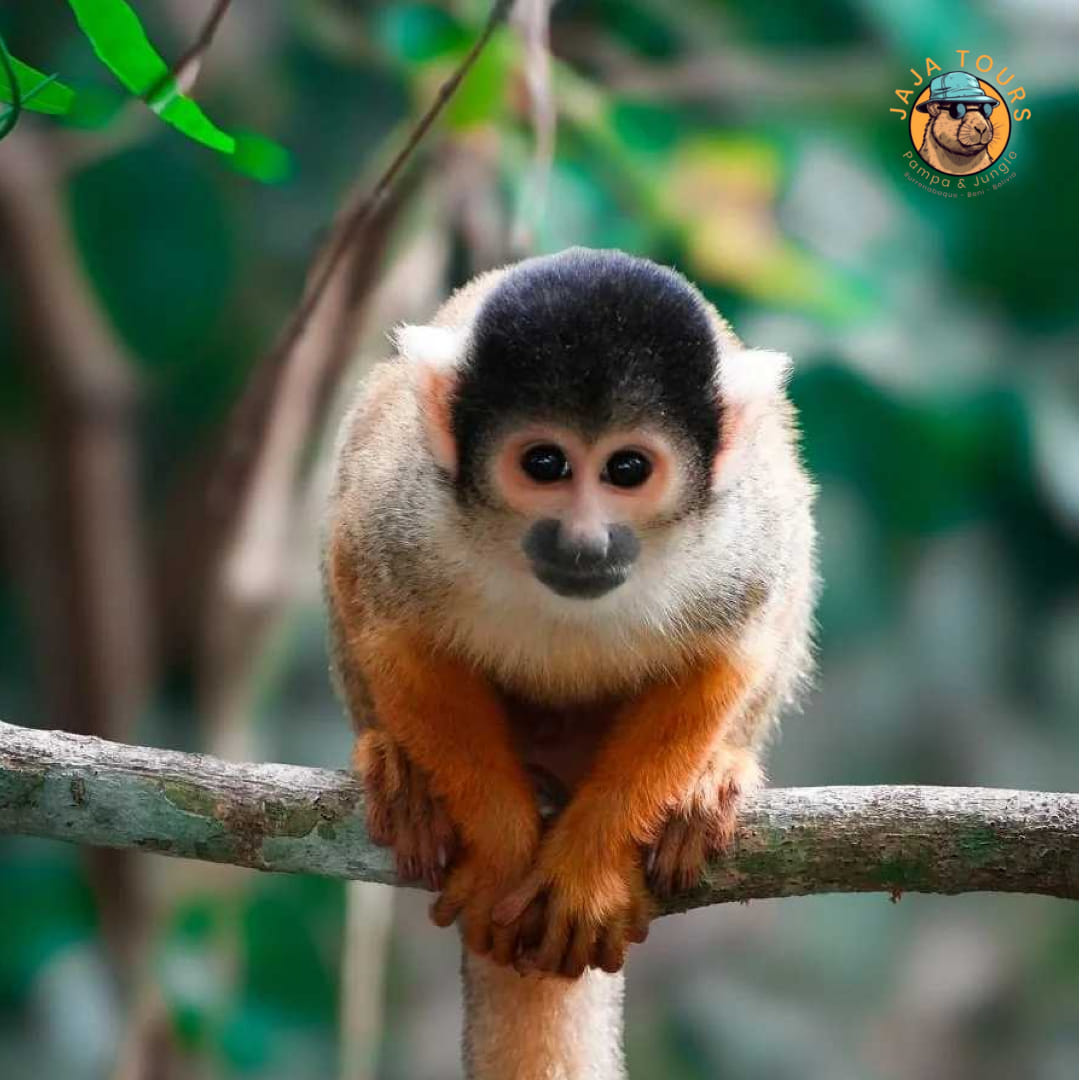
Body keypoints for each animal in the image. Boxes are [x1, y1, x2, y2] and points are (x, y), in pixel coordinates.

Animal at [323, 248, 816, 994]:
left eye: (628, 468)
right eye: (545, 463)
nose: (585, 541)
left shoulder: (740, 537)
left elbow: (728, 652)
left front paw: (591, 868)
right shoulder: (404, 511)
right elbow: (397, 632)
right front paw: (500, 852)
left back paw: (710, 780)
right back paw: (402, 771)